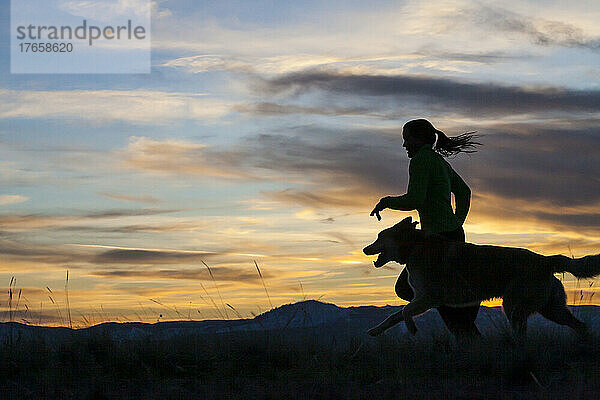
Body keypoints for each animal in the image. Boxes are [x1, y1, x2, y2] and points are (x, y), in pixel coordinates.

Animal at [364, 217, 596, 340]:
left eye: (379, 237)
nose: (365, 249)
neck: (413, 247)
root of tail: (546, 260)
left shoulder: (428, 299)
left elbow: (404, 312)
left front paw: (412, 328)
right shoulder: (422, 299)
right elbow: (394, 316)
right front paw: (376, 330)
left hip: (513, 307)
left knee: (522, 335)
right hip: (551, 310)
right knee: (581, 325)